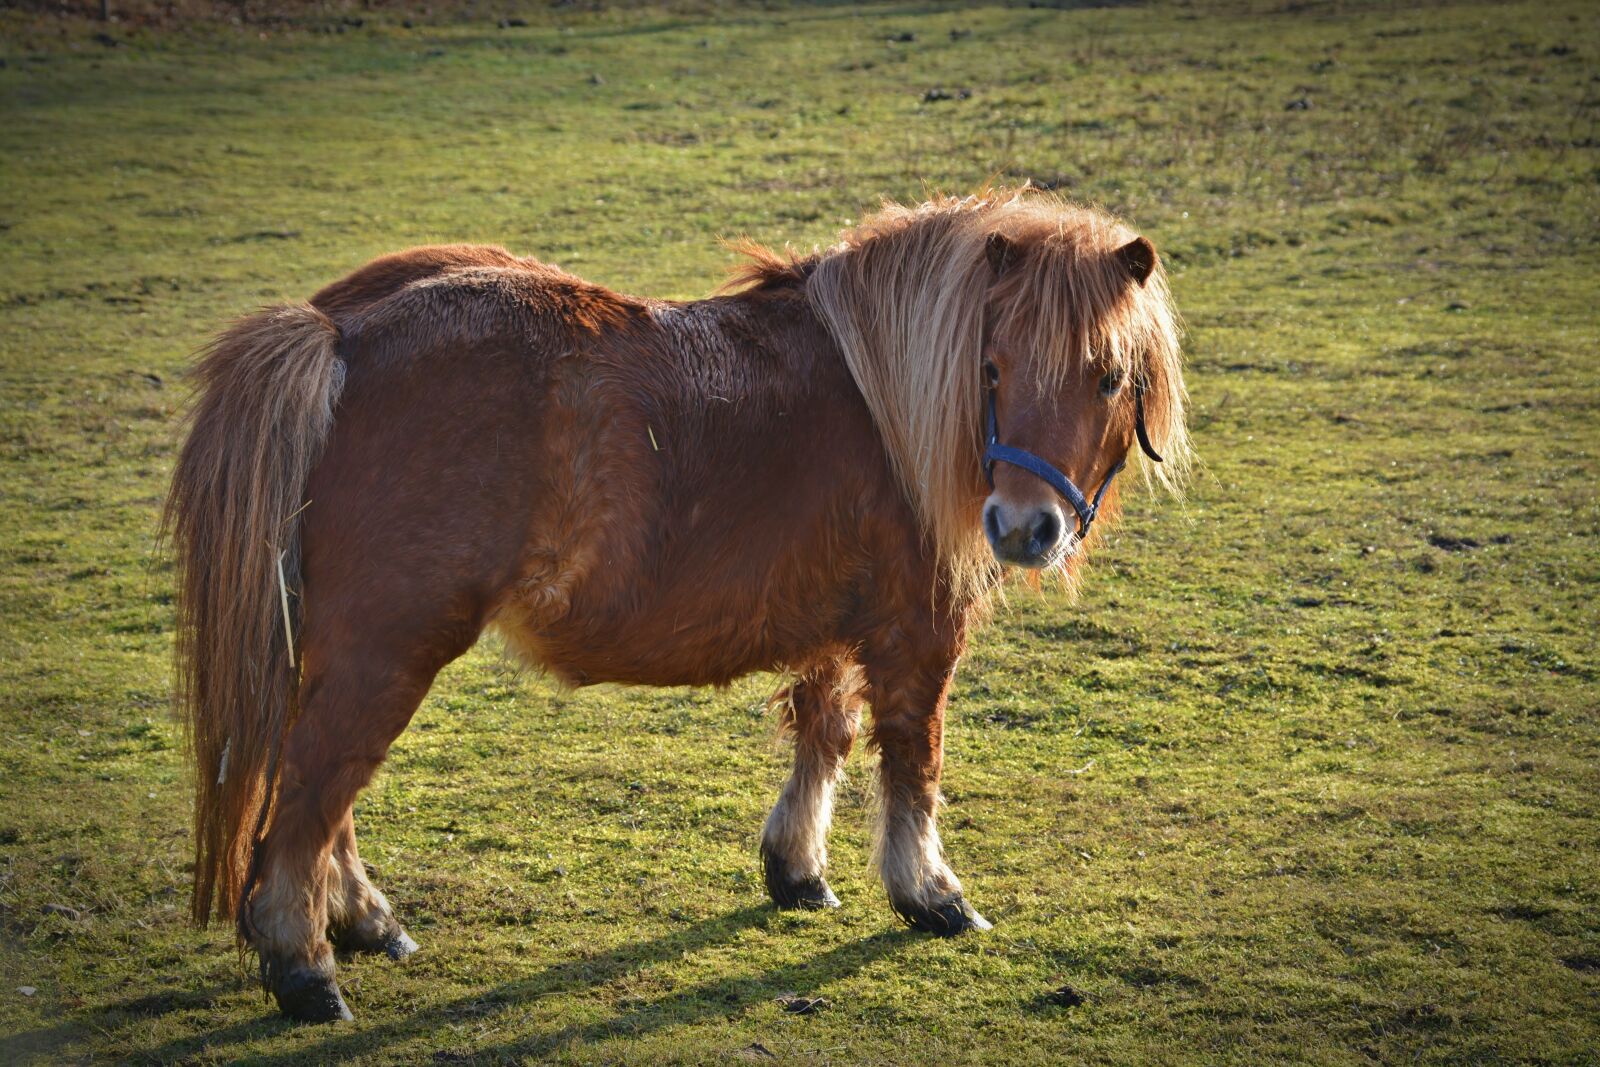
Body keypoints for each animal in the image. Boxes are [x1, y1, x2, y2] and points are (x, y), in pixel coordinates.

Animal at [164, 187, 1190, 1022]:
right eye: (993, 369)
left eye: (1107, 376)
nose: (1025, 528)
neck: (885, 403)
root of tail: (335, 331)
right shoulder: (916, 628)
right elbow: (912, 757)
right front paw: (929, 893)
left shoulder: (835, 622)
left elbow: (824, 729)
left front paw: (797, 870)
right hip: (388, 647)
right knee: (313, 790)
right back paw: (306, 968)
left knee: (321, 791)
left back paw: (365, 923)